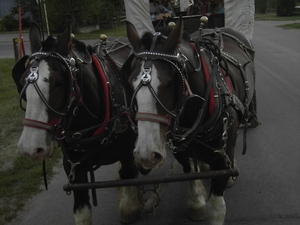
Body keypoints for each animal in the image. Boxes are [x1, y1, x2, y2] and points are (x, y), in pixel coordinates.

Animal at [12, 22, 142, 224]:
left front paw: (130, 207)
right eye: (21, 80)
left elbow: (129, 178)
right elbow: (82, 211)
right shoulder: (74, 169)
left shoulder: (126, 154)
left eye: (58, 82)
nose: (29, 148)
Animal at [122, 16, 258, 224]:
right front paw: (196, 203)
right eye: (130, 82)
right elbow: (189, 172)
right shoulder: (179, 148)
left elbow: (217, 208)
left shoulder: (222, 154)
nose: (146, 154)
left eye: (170, 82)